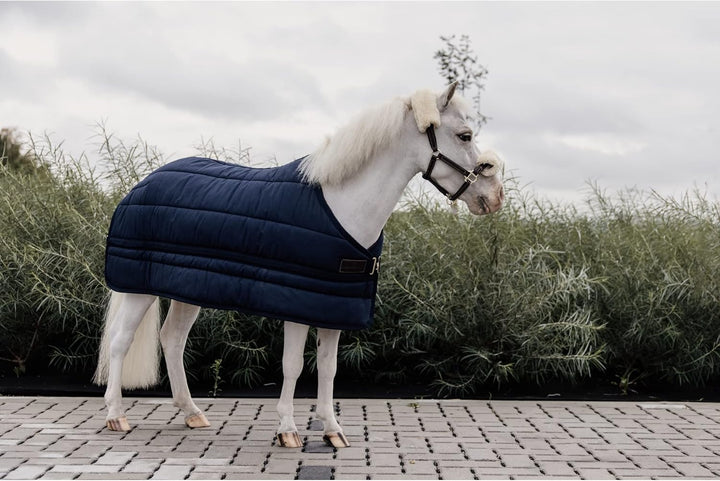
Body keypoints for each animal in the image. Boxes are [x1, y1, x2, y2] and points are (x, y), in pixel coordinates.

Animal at [93, 82, 505, 449]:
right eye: (465, 135)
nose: (494, 197)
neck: (340, 205)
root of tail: (140, 185)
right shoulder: (296, 307)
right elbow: (292, 365)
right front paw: (288, 430)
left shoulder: (333, 306)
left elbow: (328, 367)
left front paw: (332, 430)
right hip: (138, 289)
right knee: (120, 342)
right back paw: (116, 416)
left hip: (186, 292)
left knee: (173, 341)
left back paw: (192, 412)